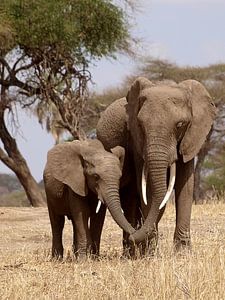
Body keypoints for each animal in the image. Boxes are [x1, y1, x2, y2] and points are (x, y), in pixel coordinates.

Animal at [96, 77, 216, 253]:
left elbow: (185, 186)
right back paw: (131, 252)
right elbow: (148, 191)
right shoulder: (137, 142)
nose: (134, 237)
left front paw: (183, 253)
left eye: (180, 125)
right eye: (140, 125)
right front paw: (151, 252)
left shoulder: (190, 138)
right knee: (130, 198)